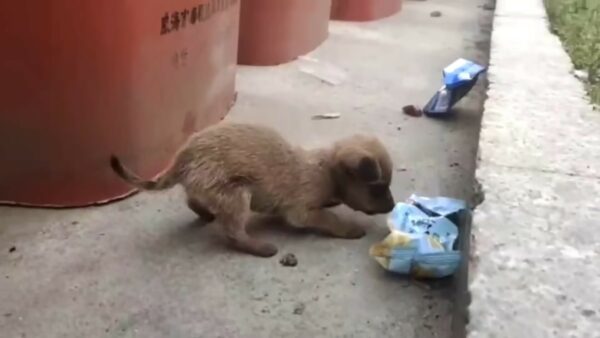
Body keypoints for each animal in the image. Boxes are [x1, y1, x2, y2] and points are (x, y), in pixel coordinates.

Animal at [110, 123, 396, 258]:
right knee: (233, 233)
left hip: (212, 189)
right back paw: (259, 247)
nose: (393, 206)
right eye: (379, 188)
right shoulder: (301, 212)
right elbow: (329, 218)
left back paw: (206, 214)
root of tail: (184, 156)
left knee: (194, 201)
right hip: (237, 194)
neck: (326, 170)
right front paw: (349, 228)